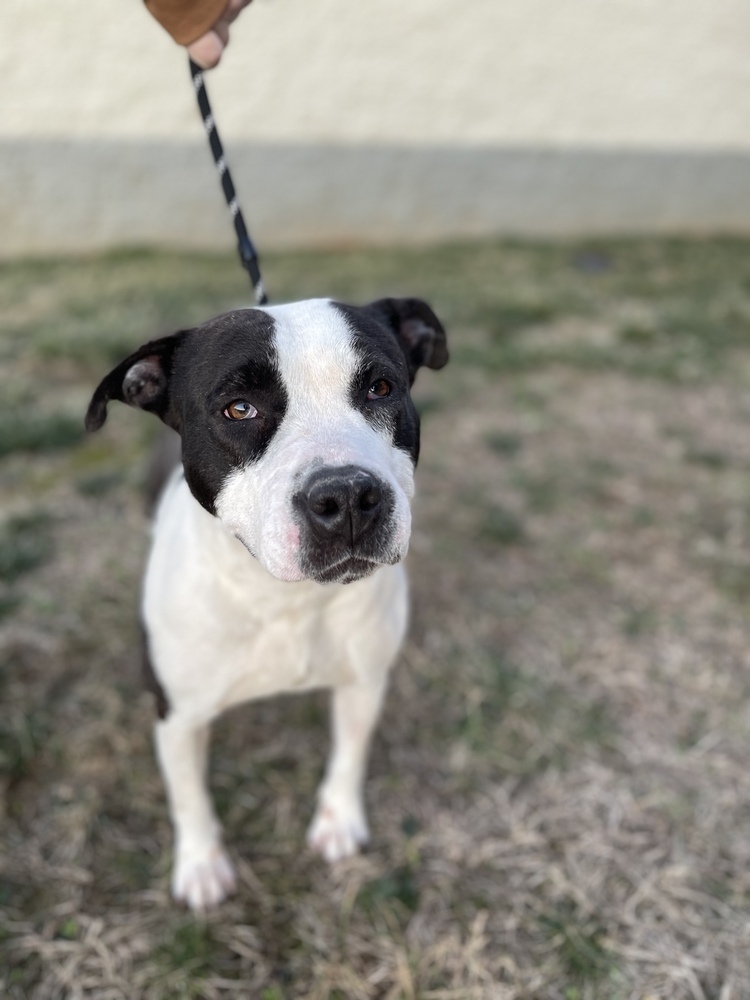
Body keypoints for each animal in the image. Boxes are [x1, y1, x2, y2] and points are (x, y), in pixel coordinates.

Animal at [85, 294, 450, 908]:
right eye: (239, 409)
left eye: (380, 388)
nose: (347, 496)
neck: (284, 598)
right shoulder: (177, 716)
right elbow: (190, 796)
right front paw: (202, 864)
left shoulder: (363, 681)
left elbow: (350, 755)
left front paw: (338, 821)